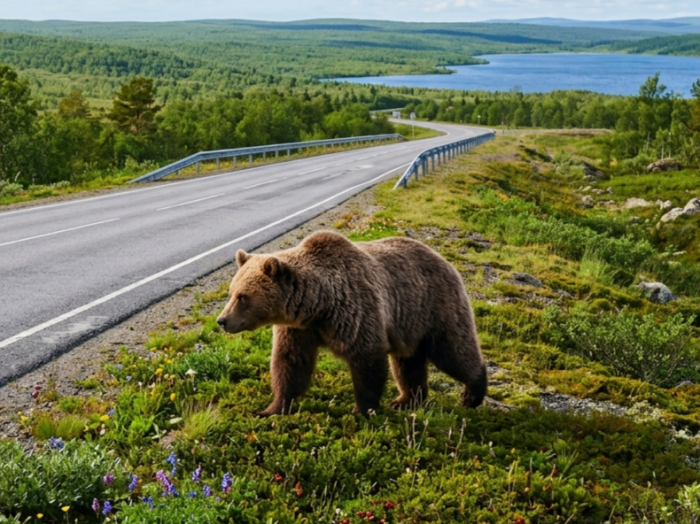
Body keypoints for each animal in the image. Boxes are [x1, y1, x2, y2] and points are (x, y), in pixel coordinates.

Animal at [216, 230, 486, 416]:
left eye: (243, 296)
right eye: (231, 292)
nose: (222, 320)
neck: (318, 305)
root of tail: (443, 259)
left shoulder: (355, 311)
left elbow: (366, 359)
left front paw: (362, 410)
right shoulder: (298, 329)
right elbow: (290, 362)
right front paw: (271, 408)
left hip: (435, 307)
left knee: (453, 350)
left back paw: (472, 393)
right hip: (409, 326)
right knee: (407, 363)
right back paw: (406, 400)